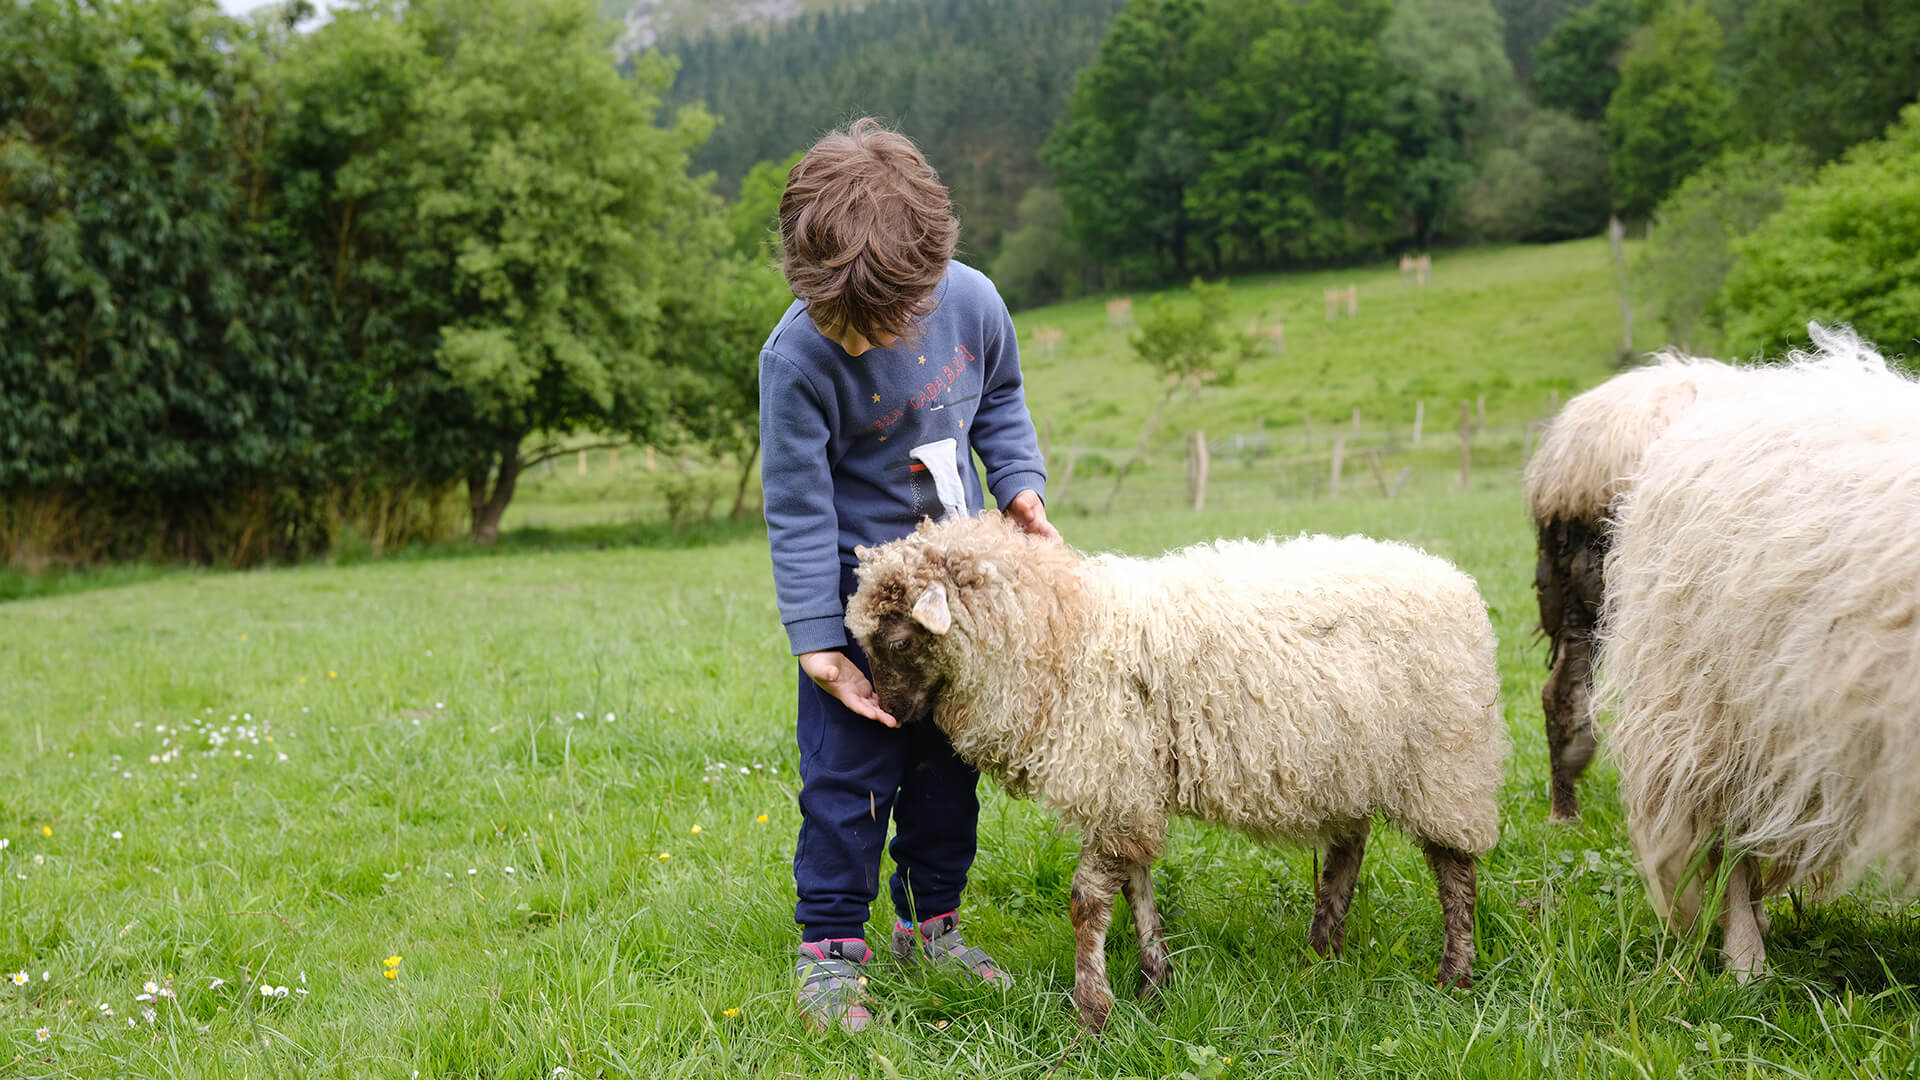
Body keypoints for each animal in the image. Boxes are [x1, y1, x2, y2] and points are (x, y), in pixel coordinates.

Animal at [848, 511, 1505, 1022]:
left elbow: (1087, 900)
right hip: (1350, 760)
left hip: (1447, 759)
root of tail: (1456, 582)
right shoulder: (1127, 785)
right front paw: (1153, 981)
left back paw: (1454, 974)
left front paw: (1092, 1011)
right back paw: (1320, 954)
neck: (1060, 634)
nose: (889, 714)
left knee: (1455, 872)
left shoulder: (1110, 778)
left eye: (898, 641)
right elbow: (1135, 884)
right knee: (1347, 853)